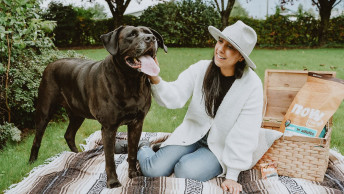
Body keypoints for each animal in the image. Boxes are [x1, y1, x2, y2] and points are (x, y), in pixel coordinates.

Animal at [29, 25, 168, 188]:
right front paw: (113, 182)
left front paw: (133, 174)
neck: (131, 81)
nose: (151, 39)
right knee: (37, 138)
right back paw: (32, 162)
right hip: (45, 110)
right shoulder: (108, 128)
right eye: (131, 35)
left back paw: (77, 154)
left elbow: (133, 151)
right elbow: (109, 159)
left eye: (151, 33)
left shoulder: (137, 123)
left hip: (78, 114)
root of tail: (51, 63)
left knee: (68, 134)